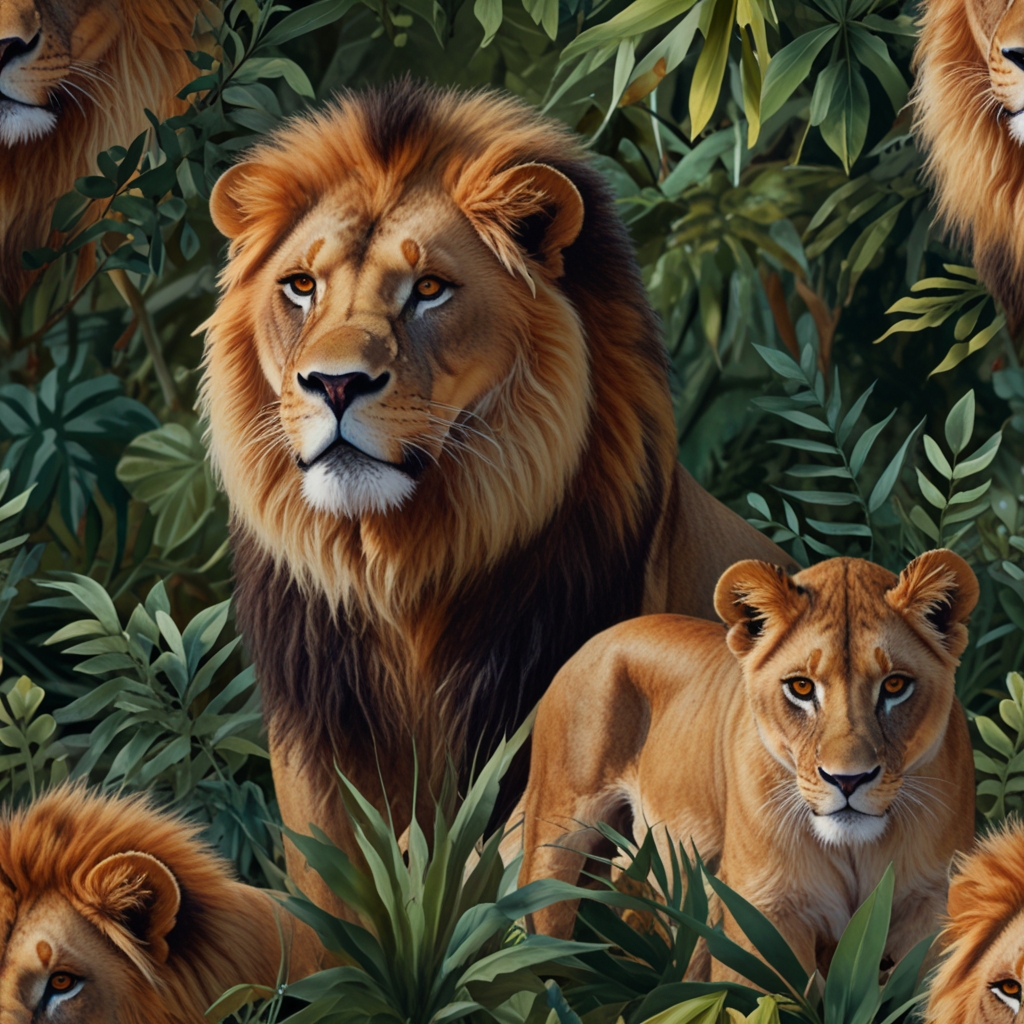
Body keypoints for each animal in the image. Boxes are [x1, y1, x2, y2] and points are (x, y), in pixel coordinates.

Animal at [517, 550, 978, 981]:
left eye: (895, 685)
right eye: (801, 687)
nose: (848, 780)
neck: (854, 848)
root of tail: (601, 635)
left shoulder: (931, 904)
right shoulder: (764, 910)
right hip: (557, 836)